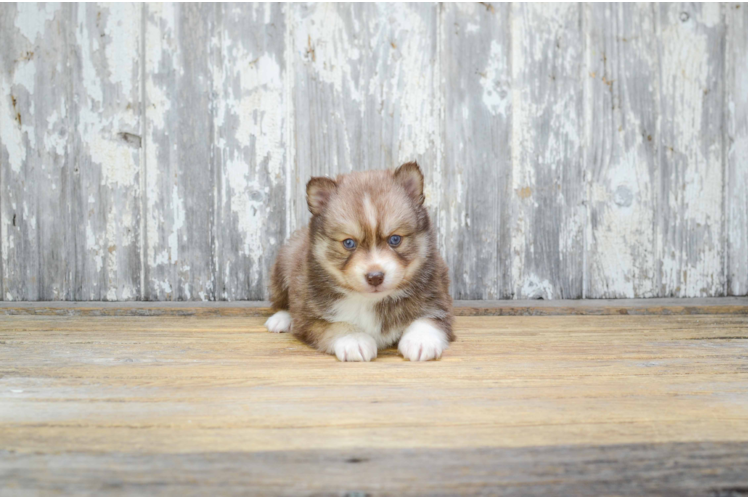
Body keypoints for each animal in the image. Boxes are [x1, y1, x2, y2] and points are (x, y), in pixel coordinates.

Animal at [268, 162, 456, 362]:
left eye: (395, 239)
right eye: (349, 243)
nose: (375, 277)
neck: (370, 301)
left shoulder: (438, 300)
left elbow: (428, 319)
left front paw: (420, 340)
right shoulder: (309, 318)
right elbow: (337, 325)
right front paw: (354, 340)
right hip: (283, 265)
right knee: (282, 301)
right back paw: (281, 320)